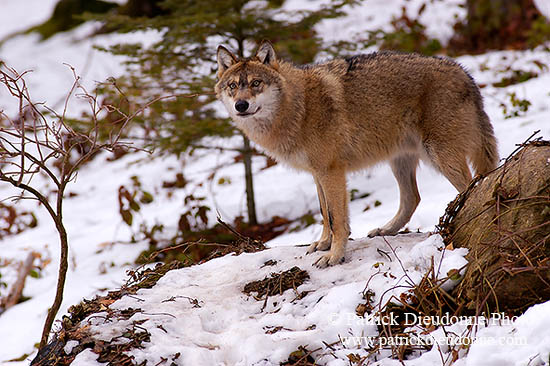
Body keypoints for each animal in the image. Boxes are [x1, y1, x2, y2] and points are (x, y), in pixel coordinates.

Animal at [216, 41, 500, 268]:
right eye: (232, 86)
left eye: (256, 83)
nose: (241, 105)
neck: (299, 108)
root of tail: (465, 73)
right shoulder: (318, 174)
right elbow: (325, 214)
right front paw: (323, 244)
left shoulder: (332, 172)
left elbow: (337, 219)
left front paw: (334, 256)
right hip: (400, 161)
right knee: (413, 198)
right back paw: (386, 229)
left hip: (439, 156)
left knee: (474, 186)